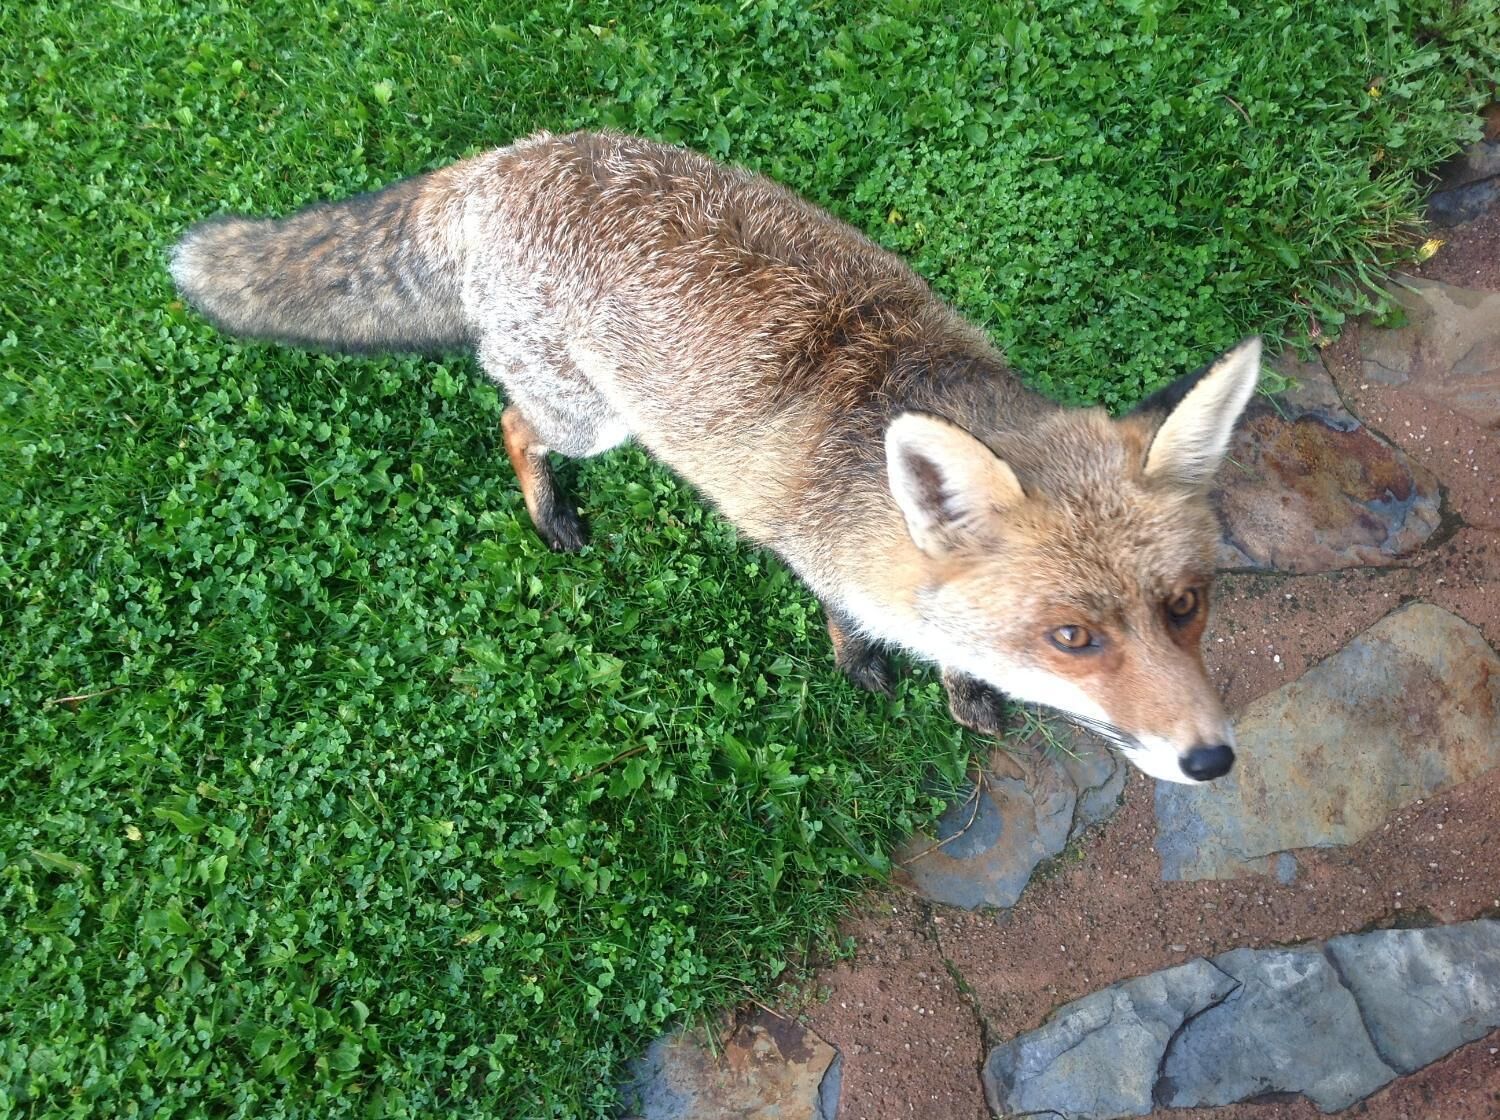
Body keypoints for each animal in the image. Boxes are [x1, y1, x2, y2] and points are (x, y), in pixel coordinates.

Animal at [170, 129, 1260, 785]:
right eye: (1073, 638)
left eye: (1184, 607)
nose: (1212, 761)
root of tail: (494, 166)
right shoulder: (822, 561)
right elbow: (848, 624)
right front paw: (866, 667)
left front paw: (965, 688)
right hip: (590, 419)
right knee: (514, 425)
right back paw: (549, 512)